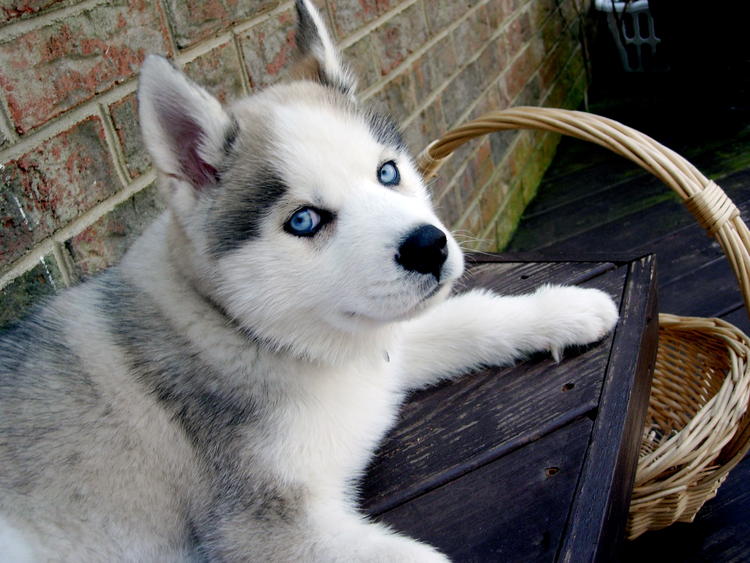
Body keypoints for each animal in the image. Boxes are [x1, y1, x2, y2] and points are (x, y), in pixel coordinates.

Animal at [0, 2, 620, 560]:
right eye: (303, 221)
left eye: (387, 172)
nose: (430, 246)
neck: (245, 331)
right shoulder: (263, 526)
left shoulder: (378, 356)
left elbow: (472, 316)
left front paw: (564, 309)